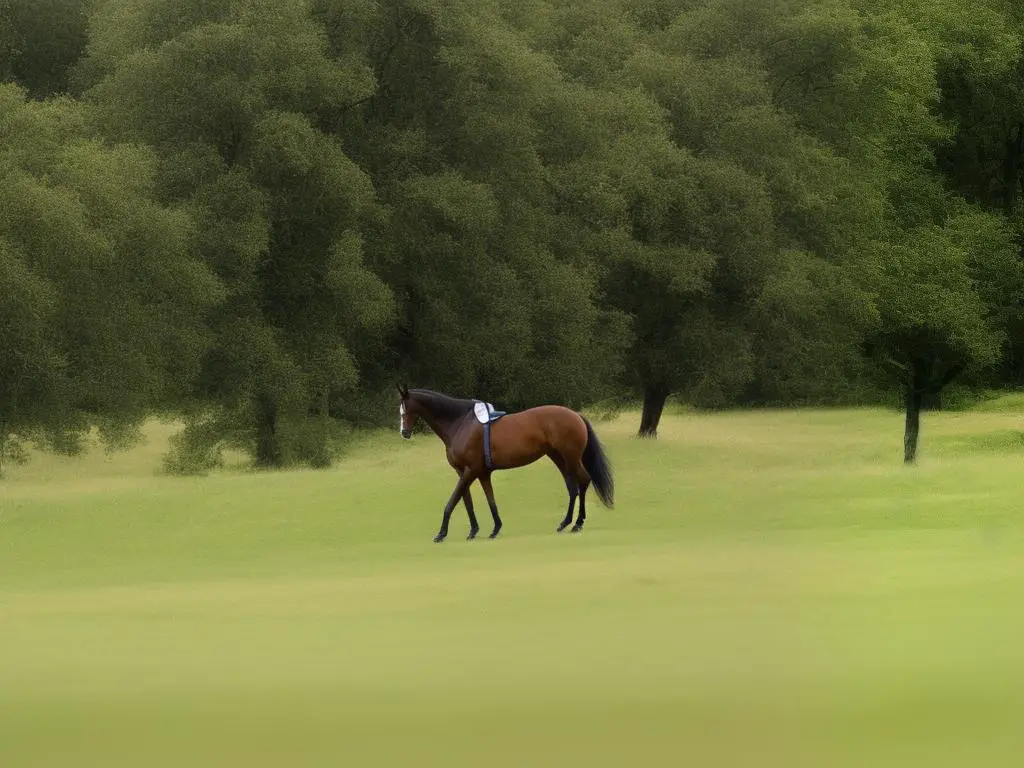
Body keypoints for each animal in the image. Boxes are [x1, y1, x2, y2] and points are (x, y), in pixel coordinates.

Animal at [395, 382, 610, 540]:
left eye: (405, 411)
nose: (404, 433)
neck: (460, 423)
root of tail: (575, 415)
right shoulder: (474, 472)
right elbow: (478, 501)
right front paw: (485, 529)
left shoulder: (470, 470)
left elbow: (453, 501)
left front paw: (441, 533)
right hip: (558, 457)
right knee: (572, 487)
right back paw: (565, 522)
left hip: (571, 457)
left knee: (583, 481)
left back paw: (578, 523)